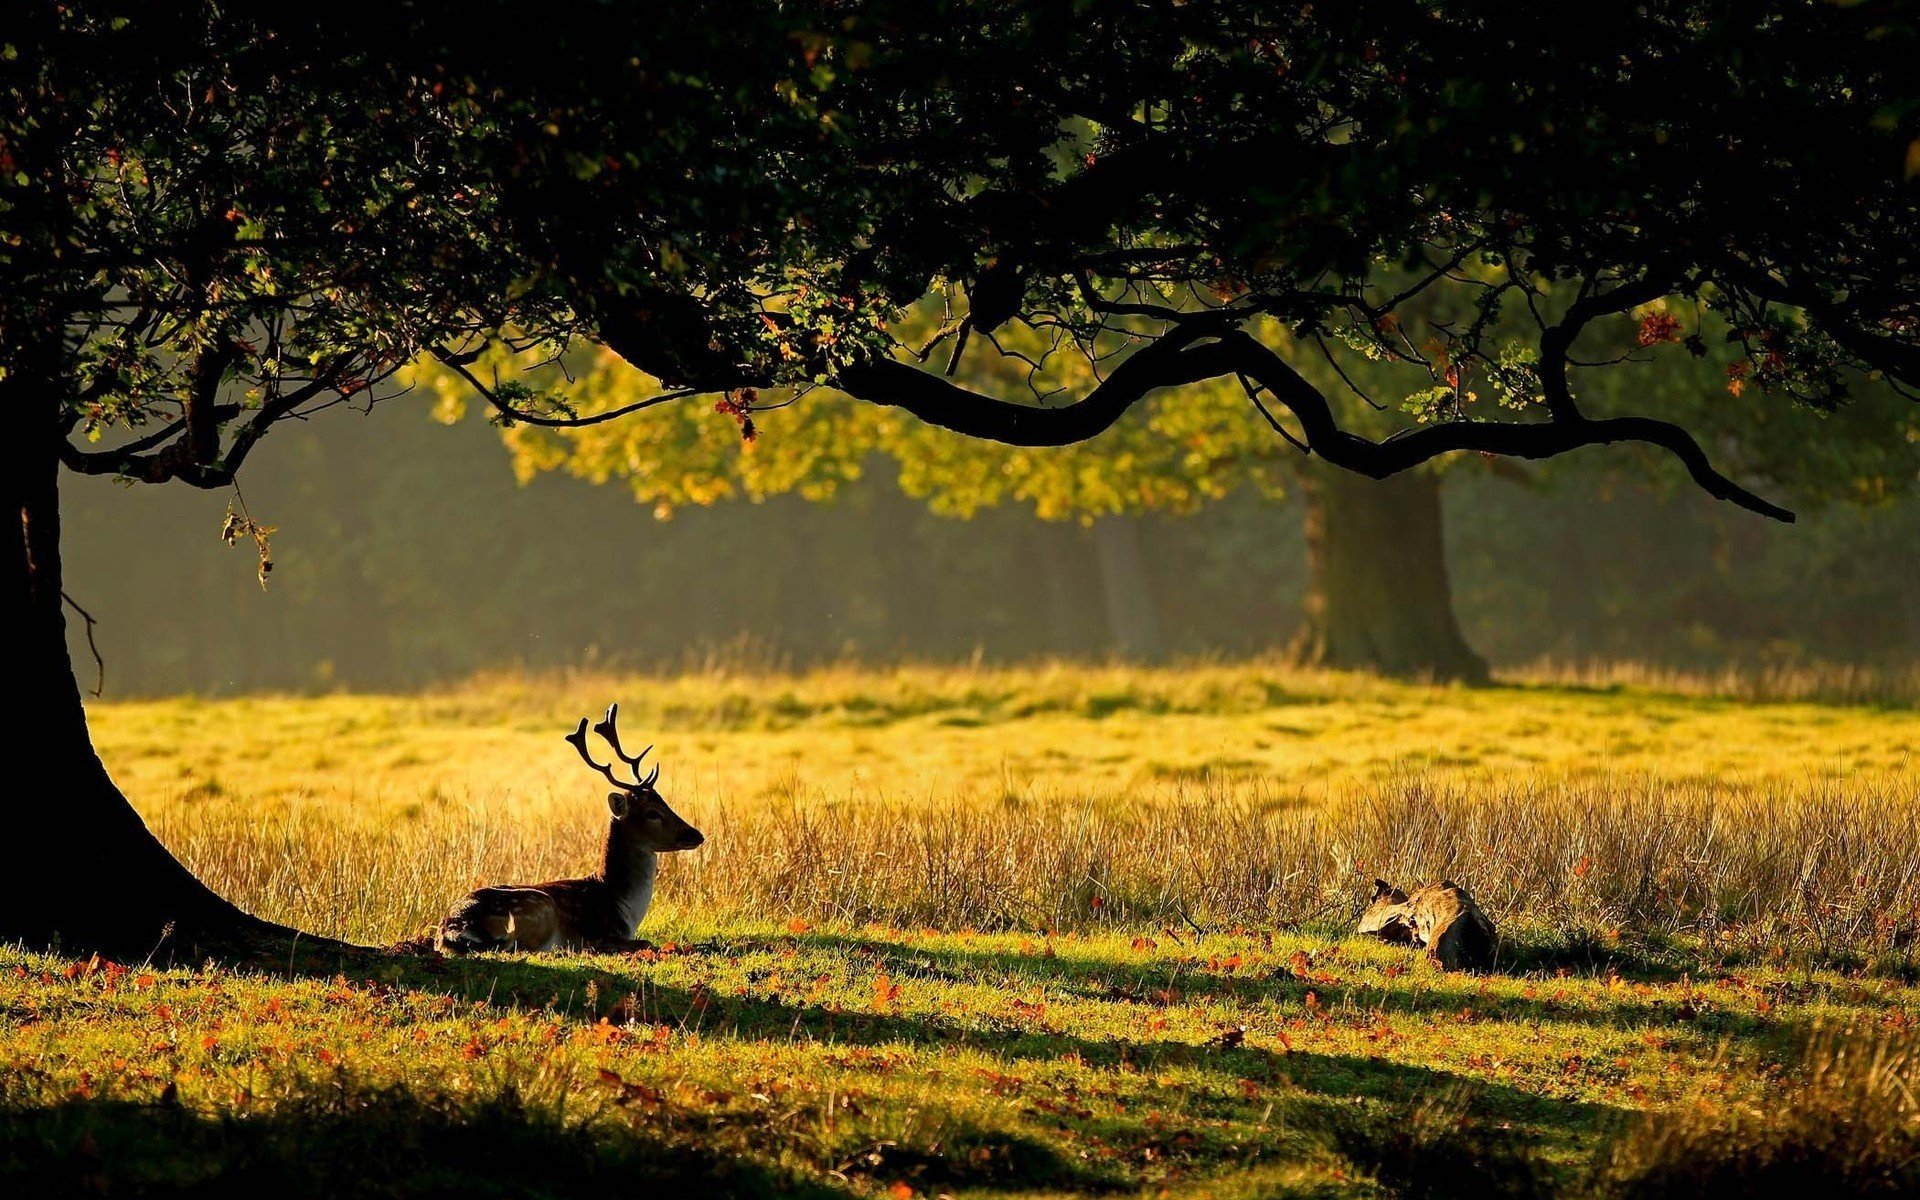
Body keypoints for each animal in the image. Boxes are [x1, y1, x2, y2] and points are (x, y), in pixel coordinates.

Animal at [435, 704, 703, 954]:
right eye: (652, 813)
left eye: (664, 802)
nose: (696, 834)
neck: (622, 907)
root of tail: (451, 929)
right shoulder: (599, 935)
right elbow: (646, 942)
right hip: (539, 906)